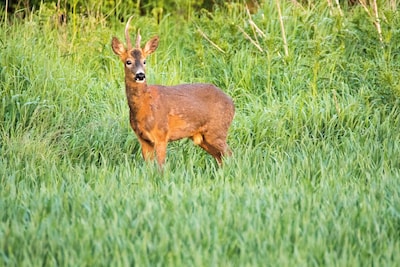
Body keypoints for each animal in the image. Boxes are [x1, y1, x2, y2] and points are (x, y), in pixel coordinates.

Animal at [111, 16, 234, 168]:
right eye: (128, 62)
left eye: (145, 61)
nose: (140, 75)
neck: (144, 106)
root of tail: (232, 103)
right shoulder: (143, 139)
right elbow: (148, 167)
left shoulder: (162, 135)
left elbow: (161, 167)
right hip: (203, 137)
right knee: (220, 158)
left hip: (217, 131)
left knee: (230, 154)